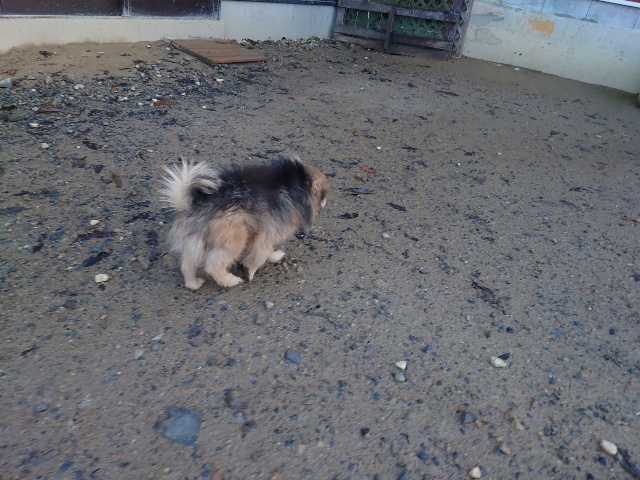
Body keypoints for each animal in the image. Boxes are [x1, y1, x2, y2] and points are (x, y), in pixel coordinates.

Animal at [161, 156, 329, 289]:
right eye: (323, 194)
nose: (326, 202)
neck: (293, 183)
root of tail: (192, 204)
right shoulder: (268, 231)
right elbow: (261, 253)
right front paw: (257, 268)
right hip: (234, 238)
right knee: (213, 266)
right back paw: (230, 280)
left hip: (196, 241)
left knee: (187, 265)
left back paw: (193, 283)